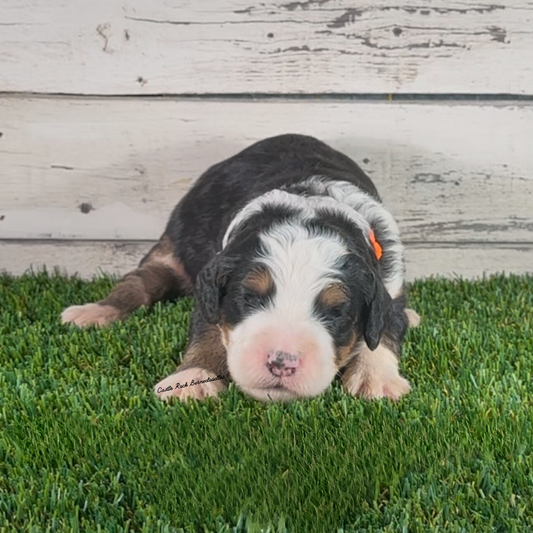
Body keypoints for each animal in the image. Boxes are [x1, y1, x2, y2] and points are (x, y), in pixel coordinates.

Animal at [61, 135, 420, 402]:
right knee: (138, 283)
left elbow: (385, 327)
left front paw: (377, 378)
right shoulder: (213, 286)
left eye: (336, 312)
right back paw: (92, 312)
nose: (281, 363)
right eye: (248, 297)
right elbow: (207, 329)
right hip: (174, 243)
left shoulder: (388, 280)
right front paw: (193, 377)